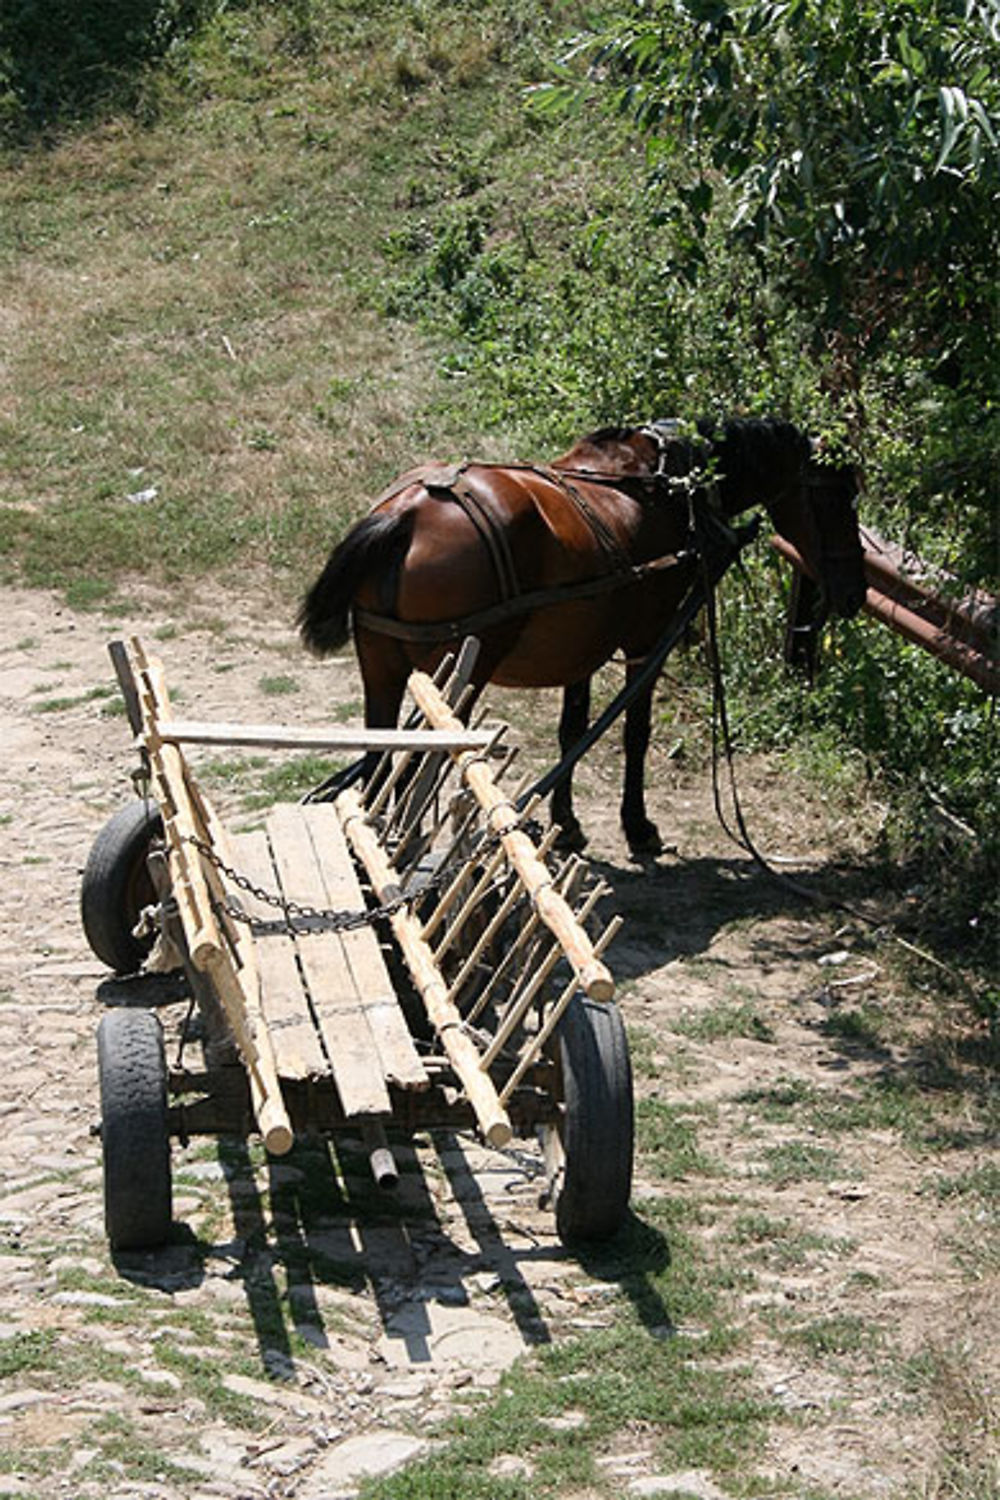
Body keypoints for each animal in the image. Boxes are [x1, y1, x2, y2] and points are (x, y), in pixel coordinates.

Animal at [299, 417, 869, 858]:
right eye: (839, 496)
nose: (855, 593)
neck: (670, 486)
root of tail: (406, 514)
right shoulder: (646, 641)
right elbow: (635, 733)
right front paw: (638, 826)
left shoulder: (580, 650)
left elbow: (572, 731)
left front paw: (567, 822)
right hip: (457, 670)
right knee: (420, 758)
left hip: (382, 666)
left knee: (380, 752)